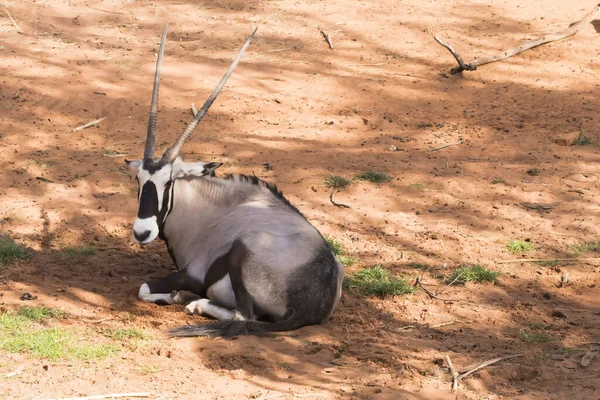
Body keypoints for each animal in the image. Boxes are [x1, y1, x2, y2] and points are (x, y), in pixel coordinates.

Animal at [124, 23, 344, 336]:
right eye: (138, 179)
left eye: (168, 182)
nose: (142, 232)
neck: (206, 209)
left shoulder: (192, 273)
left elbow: (143, 289)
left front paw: (178, 295)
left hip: (242, 250)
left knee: (243, 316)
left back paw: (195, 303)